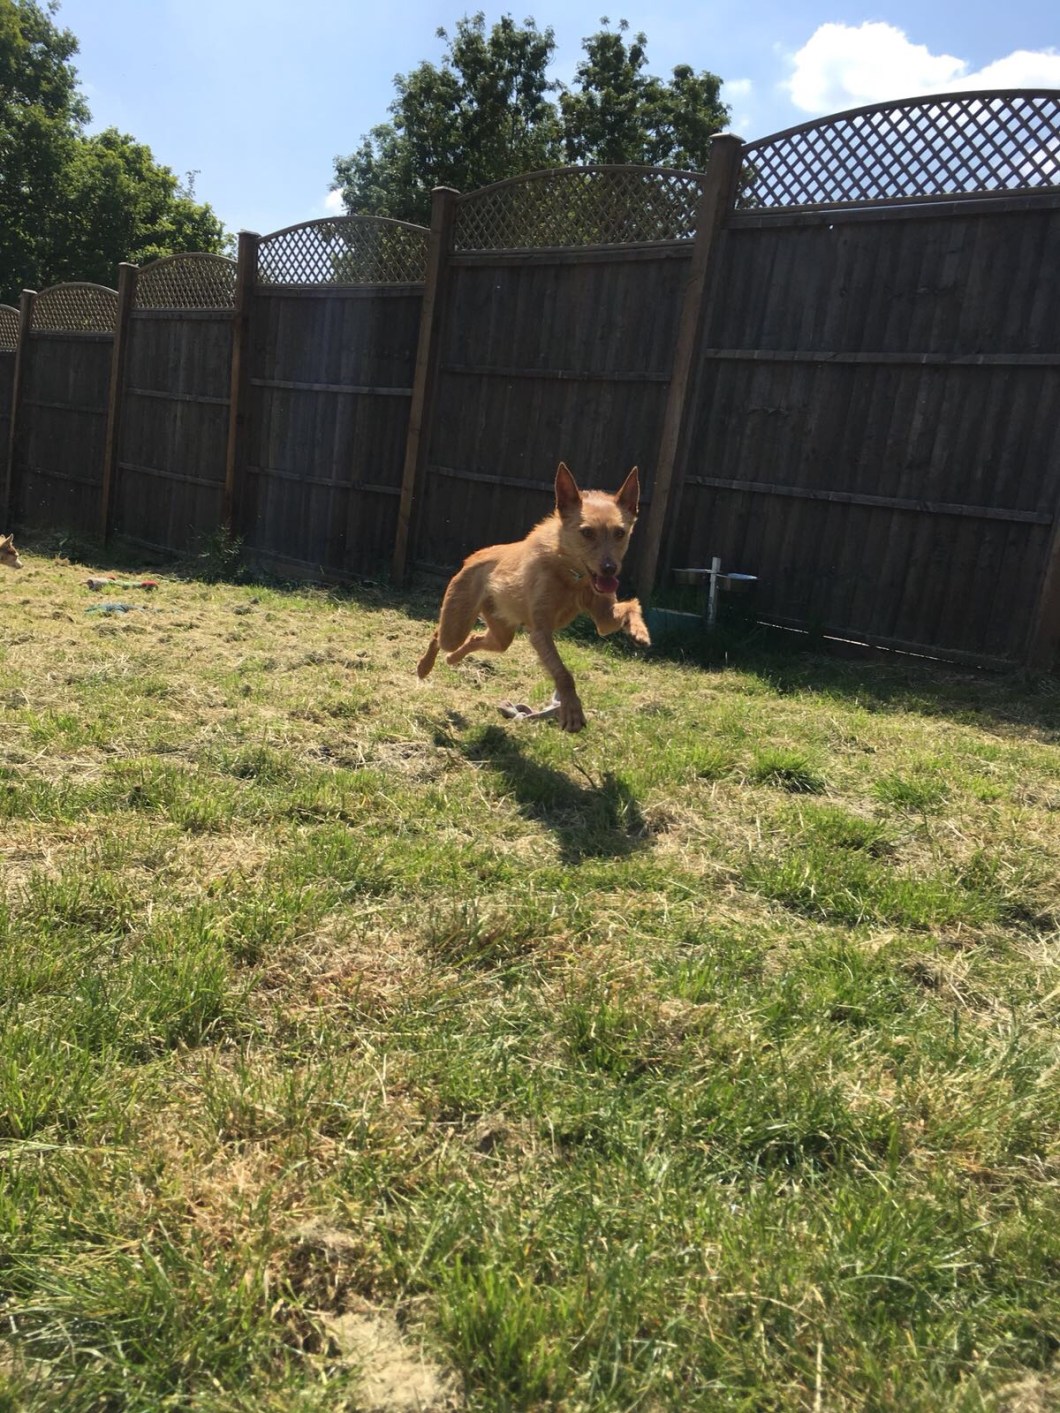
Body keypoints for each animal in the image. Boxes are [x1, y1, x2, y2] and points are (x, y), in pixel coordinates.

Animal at [417, 463, 650, 732]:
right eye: (587, 532)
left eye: (620, 533)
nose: (610, 569)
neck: (570, 575)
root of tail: (473, 558)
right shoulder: (540, 632)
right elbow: (563, 674)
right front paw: (572, 710)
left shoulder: (604, 621)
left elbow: (631, 606)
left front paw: (639, 631)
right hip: (456, 624)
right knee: (439, 636)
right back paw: (424, 667)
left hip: (501, 636)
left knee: (475, 639)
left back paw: (453, 659)